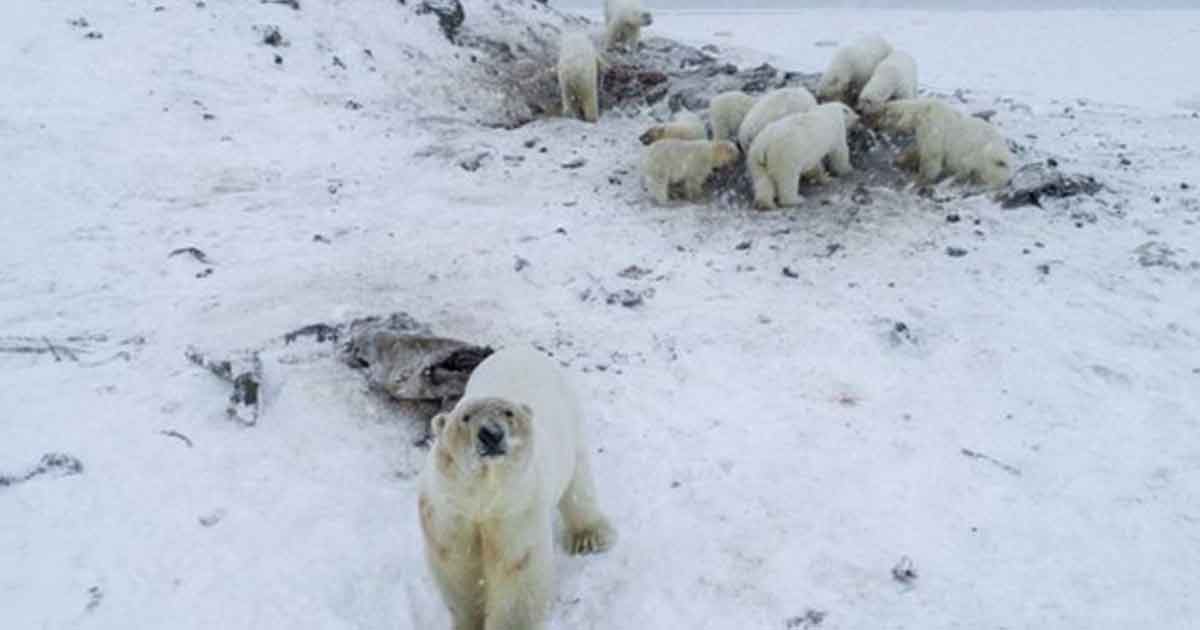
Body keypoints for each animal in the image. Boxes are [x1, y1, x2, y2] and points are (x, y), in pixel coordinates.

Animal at [418, 346, 615, 630]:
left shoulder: (516, 509)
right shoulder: (450, 511)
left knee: (579, 482)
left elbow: (518, 571)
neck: (483, 494)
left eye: (508, 413)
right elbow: (458, 568)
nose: (491, 433)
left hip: (570, 423)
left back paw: (589, 537)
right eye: (465, 417)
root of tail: (519, 348)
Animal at [878, 98, 1013, 189]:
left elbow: (931, 156)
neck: (923, 112)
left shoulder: (933, 128)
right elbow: (918, 148)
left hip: (986, 157)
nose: (877, 124)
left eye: (885, 114)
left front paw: (920, 177)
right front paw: (901, 160)